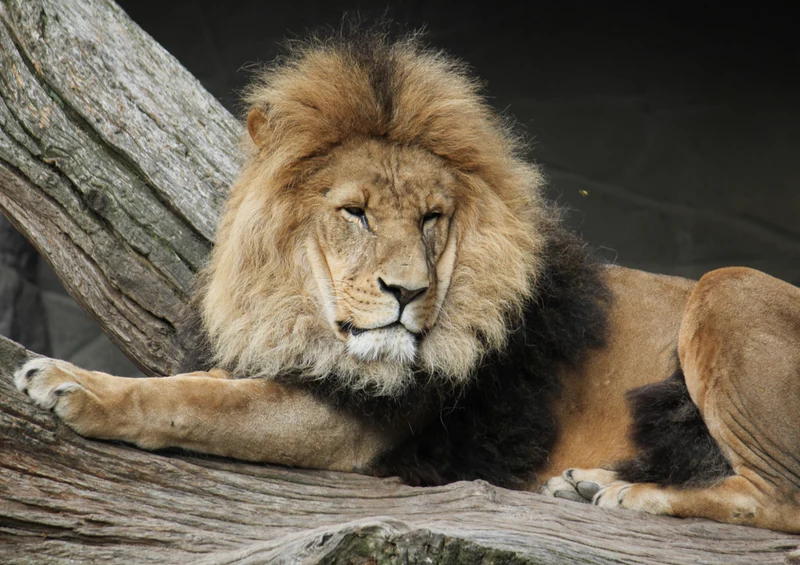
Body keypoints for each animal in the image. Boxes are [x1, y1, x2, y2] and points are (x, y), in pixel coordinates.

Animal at [13, 29, 800, 533]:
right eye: (355, 213)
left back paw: (632, 494)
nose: (407, 292)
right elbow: (202, 384)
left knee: (779, 498)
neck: (297, 312)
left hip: (723, 286)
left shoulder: (352, 424)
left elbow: (195, 402)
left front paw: (73, 384)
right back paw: (592, 485)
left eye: (432, 218)